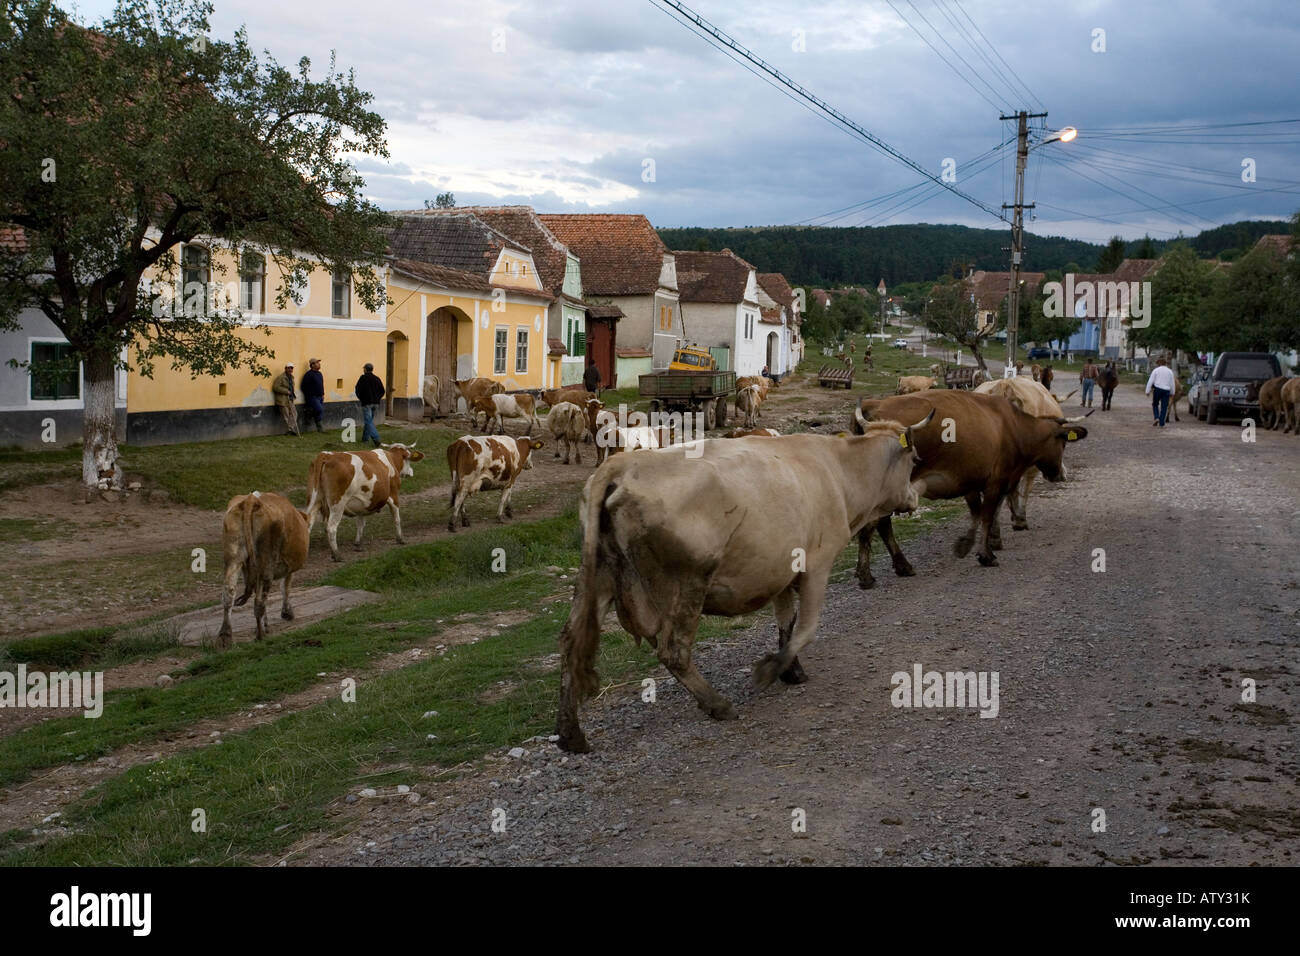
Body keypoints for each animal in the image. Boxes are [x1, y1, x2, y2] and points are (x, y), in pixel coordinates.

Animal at [220, 489, 309, 647]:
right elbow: (285, 588)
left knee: (229, 592)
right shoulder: (288, 568)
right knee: (259, 601)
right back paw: (260, 636)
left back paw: (226, 636)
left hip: (234, 556)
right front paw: (286, 613)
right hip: (266, 563)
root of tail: (252, 499)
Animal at [553, 413, 930, 754]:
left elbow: (786, 623)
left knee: (570, 643)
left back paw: (570, 733)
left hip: (597, 578)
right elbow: (806, 629)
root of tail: (620, 465)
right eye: (914, 460)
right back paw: (717, 704)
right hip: (688, 582)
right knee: (674, 651)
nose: (914, 498)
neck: (839, 472)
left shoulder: (780, 571)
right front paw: (771, 669)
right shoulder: (817, 564)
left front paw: (792, 670)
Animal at [852, 390, 1086, 582]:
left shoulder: (972, 481)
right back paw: (867, 574)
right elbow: (987, 515)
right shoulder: (996, 482)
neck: (1013, 428)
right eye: (1063, 442)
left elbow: (977, 514)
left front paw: (968, 544)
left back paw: (900, 566)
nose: (1060, 474)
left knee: (881, 524)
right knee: (875, 523)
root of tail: (874, 403)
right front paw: (986, 554)